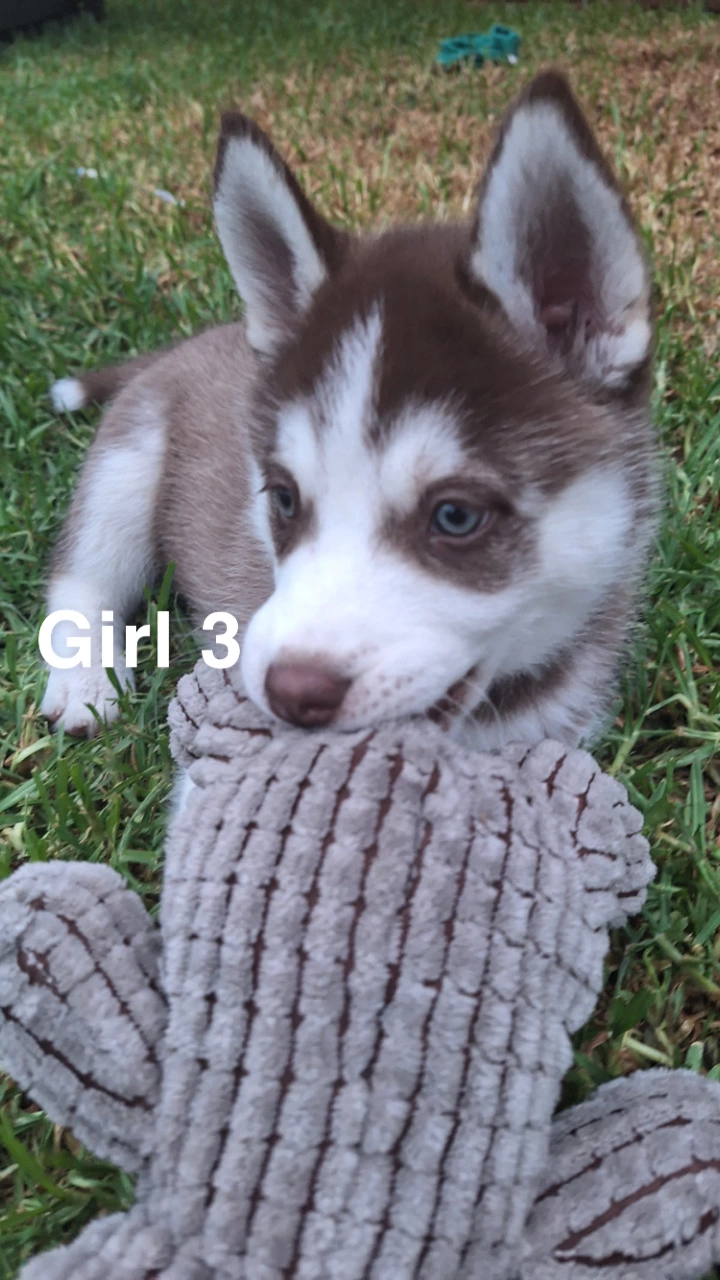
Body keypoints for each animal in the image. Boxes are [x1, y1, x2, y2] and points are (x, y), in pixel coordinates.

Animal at [42, 71, 658, 753]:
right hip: (127, 465)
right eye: (283, 499)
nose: (290, 694)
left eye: (456, 516)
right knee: (81, 576)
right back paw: (83, 677)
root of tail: (195, 339)